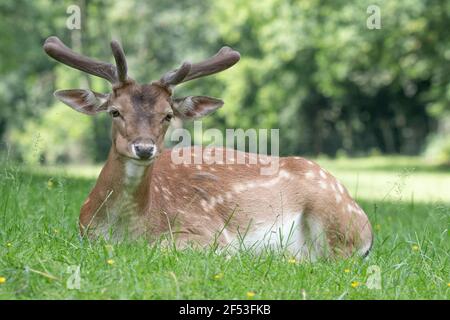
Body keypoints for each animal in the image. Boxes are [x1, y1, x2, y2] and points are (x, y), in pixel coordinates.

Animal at [43, 35, 372, 260]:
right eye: (115, 111)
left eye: (167, 115)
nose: (144, 148)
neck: (125, 231)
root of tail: (366, 224)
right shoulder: (83, 232)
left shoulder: (209, 231)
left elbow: (165, 245)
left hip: (334, 216)